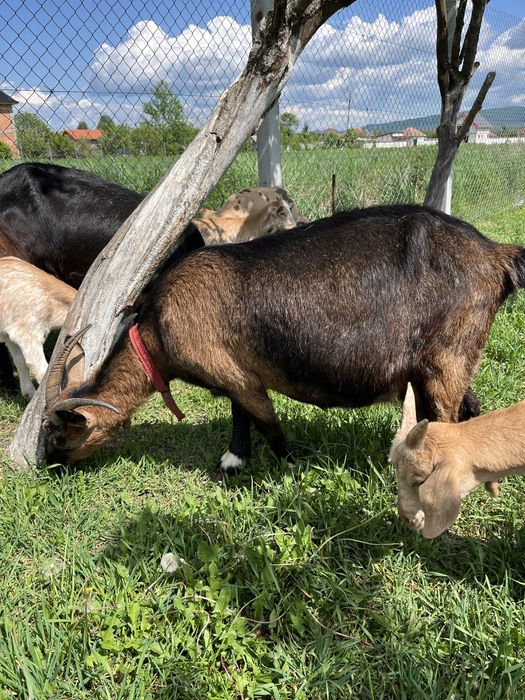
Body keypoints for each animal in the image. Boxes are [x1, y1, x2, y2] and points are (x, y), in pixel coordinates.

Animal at [41, 205, 525, 469]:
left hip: (448, 358)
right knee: (465, 408)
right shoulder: (236, 370)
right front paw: (235, 460)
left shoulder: (232, 372)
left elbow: (266, 422)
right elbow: (240, 415)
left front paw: (290, 466)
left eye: (59, 436)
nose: (50, 466)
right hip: (447, 361)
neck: (157, 328)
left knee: (449, 415)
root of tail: (496, 254)